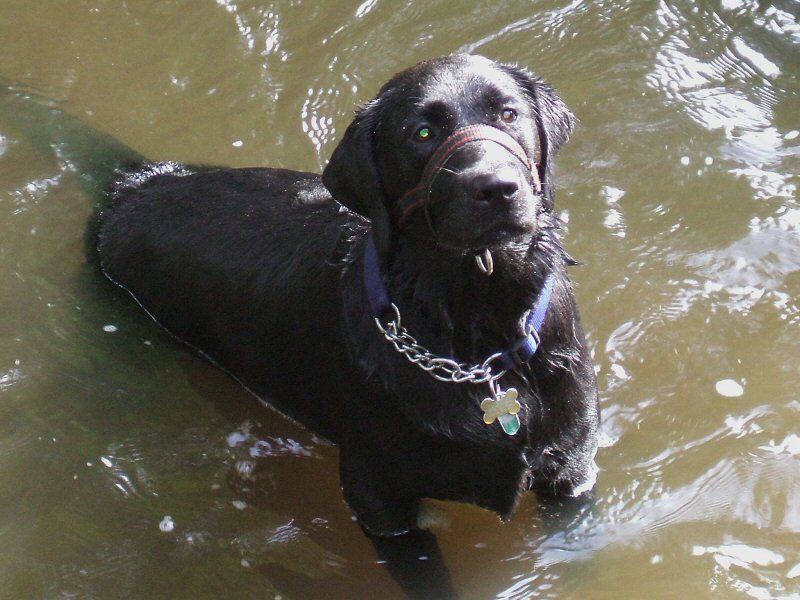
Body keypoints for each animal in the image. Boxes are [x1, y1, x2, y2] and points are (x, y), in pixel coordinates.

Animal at [97, 54, 600, 537]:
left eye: (508, 113)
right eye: (421, 132)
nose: (496, 187)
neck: (479, 337)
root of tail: (132, 183)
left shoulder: (573, 467)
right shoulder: (375, 493)